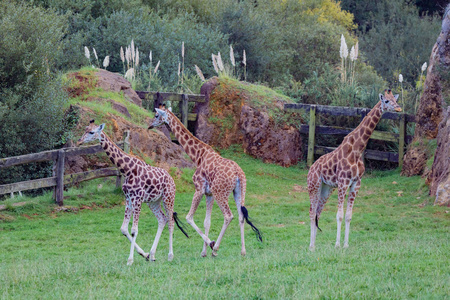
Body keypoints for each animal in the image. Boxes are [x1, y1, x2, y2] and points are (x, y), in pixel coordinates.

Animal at [77, 119, 188, 264]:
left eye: (91, 132)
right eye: (85, 129)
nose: (79, 141)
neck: (127, 170)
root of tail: (171, 179)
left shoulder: (138, 198)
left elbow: (134, 230)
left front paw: (130, 260)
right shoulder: (128, 198)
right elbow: (124, 229)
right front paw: (144, 254)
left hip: (168, 197)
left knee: (170, 222)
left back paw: (170, 255)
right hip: (153, 202)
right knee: (162, 219)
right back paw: (152, 254)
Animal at [149, 109, 260, 256]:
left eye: (156, 115)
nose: (150, 125)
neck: (198, 156)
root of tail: (238, 174)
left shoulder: (199, 189)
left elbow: (189, 217)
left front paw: (210, 244)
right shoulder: (209, 194)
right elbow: (207, 221)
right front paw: (203, 252)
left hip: (220, 193)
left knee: (228, 216)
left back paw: (216, 249)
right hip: (239, 192)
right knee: (241, 216)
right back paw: (243, 251)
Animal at [308, 89, 402, 251]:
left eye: (395, 100)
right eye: (386, 101)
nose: (398, 108)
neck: (357, 150)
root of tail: (310, 169)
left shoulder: (356, 184)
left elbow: (348, 216)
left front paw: (345, 245)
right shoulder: (343, 182)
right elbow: (339, 215)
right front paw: (337, 245)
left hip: (326, 188)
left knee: (317, 213)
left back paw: (314, 246)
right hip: (313, 186)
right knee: (311, 212)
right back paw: (310, 247)